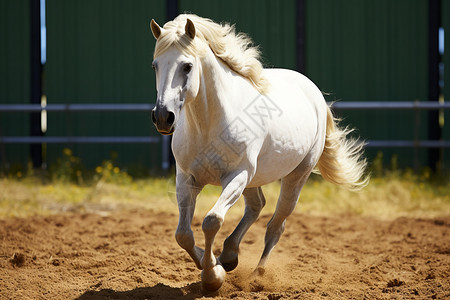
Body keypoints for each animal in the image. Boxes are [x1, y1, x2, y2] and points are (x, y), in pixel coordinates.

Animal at [149, 14, 368, 290]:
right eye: (155, 65)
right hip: (253, 179)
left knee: (276, 225)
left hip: (295, 177)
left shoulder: (236, 176)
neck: (208, 124)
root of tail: (315, 93)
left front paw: (212, 276)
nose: (162, 117)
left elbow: (212, 221)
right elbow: (183, 234)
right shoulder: (187, 178)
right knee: (257, 206)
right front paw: (213, 265)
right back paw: (229, 255)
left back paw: (258, 274)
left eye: (187, 66)